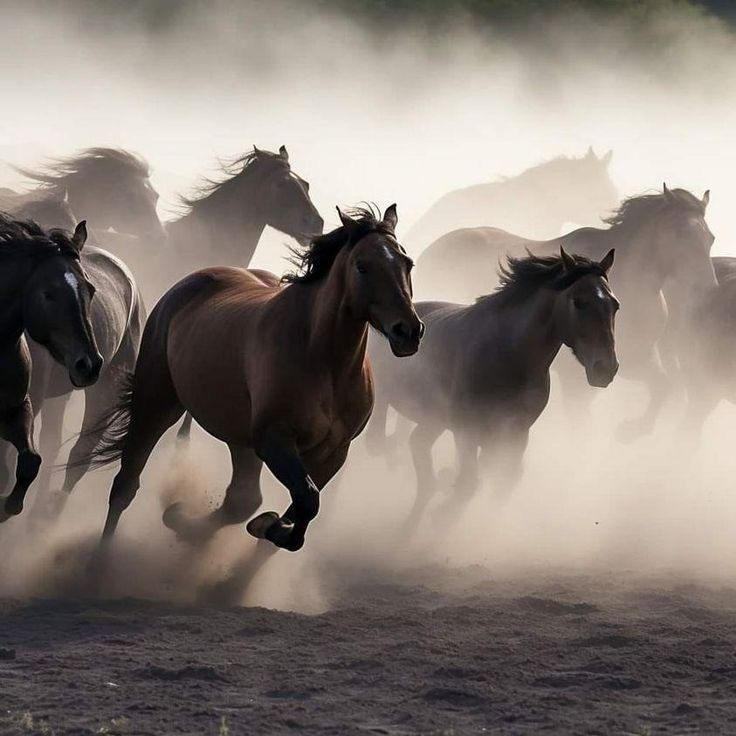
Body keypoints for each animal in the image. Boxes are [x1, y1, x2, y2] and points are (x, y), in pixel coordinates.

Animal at [0, 216, 102, 520]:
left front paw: (8, 506)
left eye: (91, 289)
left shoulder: (16, 410)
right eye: (48, 293)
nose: (89, 365)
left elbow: (30, 462)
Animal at [90, 204, 422, 548]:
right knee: (126, 484)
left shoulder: (334, 451)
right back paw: (105, 553)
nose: (409, 331)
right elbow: (306, 500)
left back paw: (181, 519)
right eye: (362, 266)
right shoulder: (273, 438)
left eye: (407, 263)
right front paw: (269, 527)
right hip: (157, 404)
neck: (325, 362)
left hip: (239, 437)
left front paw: (269, 526)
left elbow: (299, 507)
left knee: (241, 497)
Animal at [370, 250, 620, 528]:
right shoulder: (466, 430)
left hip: (434, 420)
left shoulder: (516, 435)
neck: (508, 355)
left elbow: (502, 483)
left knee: (418, 446)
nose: (605, 368)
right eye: (579, 302)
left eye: (615, 305)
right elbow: (469, 483)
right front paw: (444, 514)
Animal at [416, 187, 716, 440]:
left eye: (710, 238)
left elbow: (664, 386)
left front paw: (631, 430)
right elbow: (580, 421)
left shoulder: (634, 360)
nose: (707, 289)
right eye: (679, 233)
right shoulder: (581, 376)